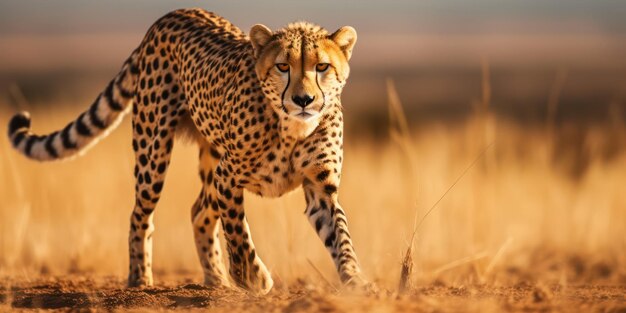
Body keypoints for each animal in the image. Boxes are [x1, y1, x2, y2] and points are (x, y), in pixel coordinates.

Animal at [6, 9, 360, 292]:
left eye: (322, 67)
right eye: (283, 66)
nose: (303, 100)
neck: (292, 127)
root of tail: (173, 14)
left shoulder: (320, 189)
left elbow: (341, 237)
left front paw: (356, 281)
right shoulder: (228, 178)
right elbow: (238, 232)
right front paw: (252, 276)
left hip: (209, 160)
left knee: (199, 211)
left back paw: (216, 280)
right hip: (154, 152)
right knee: (141, 214)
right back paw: (140, 279)